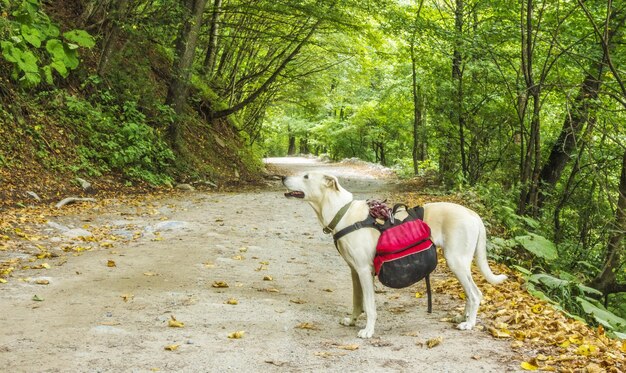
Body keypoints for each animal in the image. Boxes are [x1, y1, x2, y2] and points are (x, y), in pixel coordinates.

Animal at [284, 171, 508, 338]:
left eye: (306, 176)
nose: (283, 178)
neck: (342, 212)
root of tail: (473, 214)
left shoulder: (364, 270)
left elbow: (369, 305)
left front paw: (368, 330)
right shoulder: (354, 271)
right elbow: (357, 301)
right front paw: (352, 320)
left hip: (456, 261)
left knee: (476, 294)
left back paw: (469, 324)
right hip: (460, 264)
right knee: (470, 294)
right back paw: (463, 318)